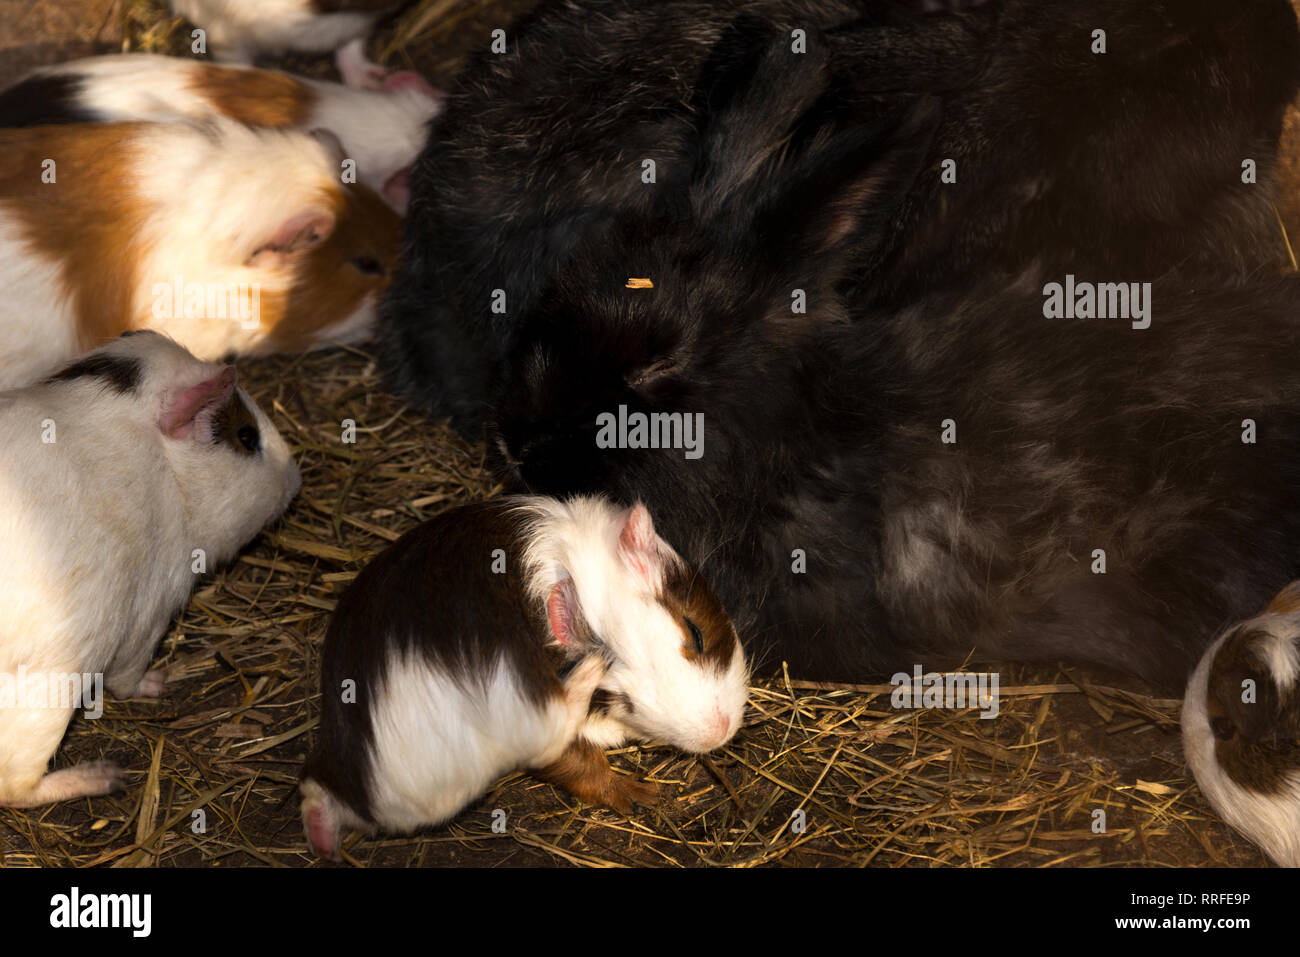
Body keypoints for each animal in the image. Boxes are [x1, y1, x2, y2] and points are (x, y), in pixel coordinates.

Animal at [0, 330, 300, 808]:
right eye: (247, 436)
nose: (296, 479)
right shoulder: (150, 613)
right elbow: (128, 677)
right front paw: (159, 683)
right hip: (48, 695)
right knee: (15, 786)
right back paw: (105, 776)